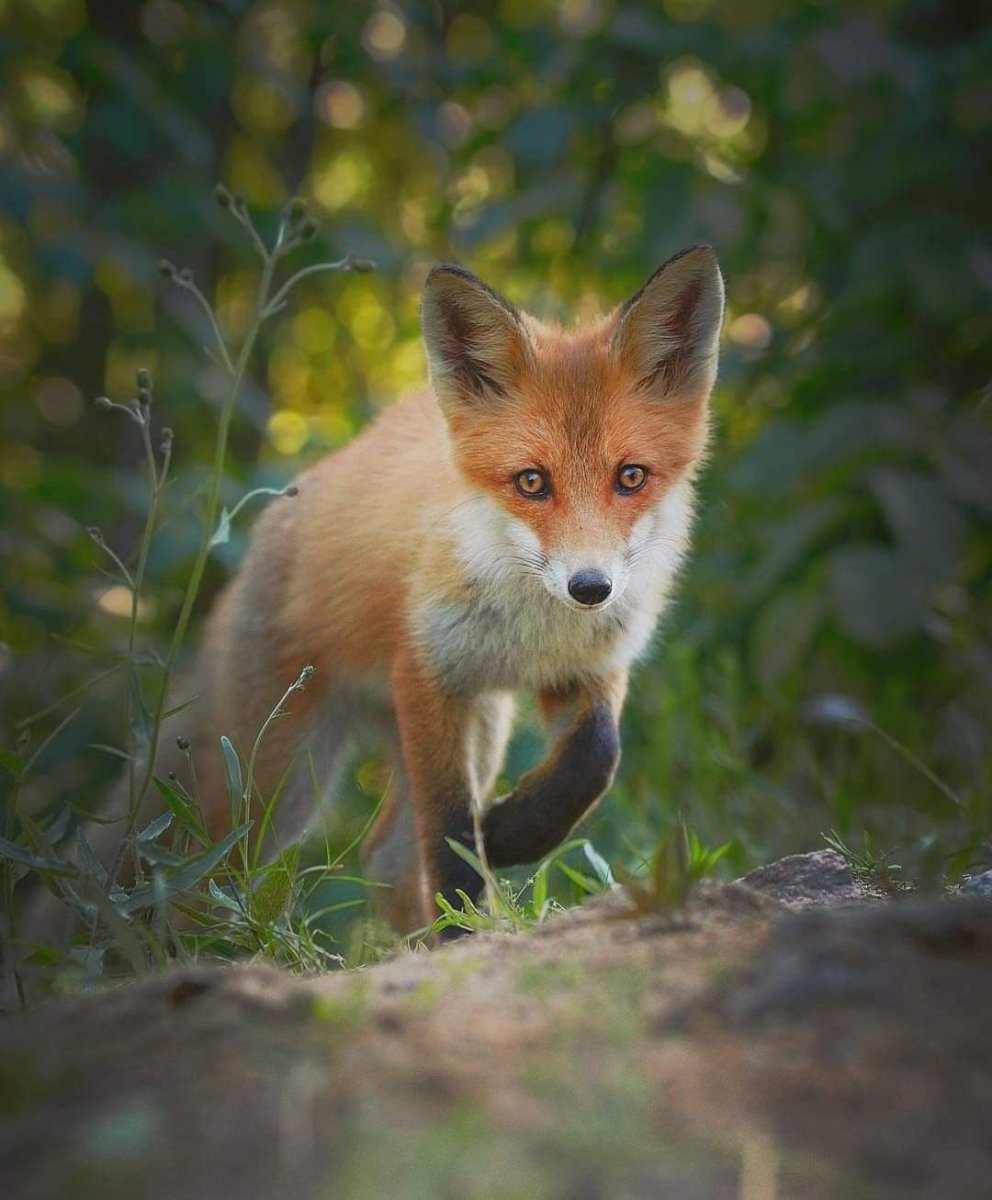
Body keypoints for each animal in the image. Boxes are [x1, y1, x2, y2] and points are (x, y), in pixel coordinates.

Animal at [29, 244, 724, 943]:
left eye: (630, 477)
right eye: (532, 482)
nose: (590, 588)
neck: (534, 627)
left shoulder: (587, 669)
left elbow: (594, 760)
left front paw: (507, 838)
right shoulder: (426, 672)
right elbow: (449, 836)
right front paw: (463, 927)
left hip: (480, 725)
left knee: (384, 854)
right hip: (274, 776)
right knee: (208, 873)